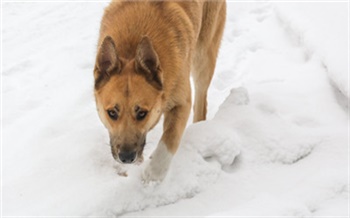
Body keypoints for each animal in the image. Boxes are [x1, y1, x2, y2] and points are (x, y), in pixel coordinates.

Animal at [93, 0, 227, 182]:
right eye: (112, 113)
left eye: (142, 113)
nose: (126, 158)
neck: (131, 49)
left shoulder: (181, 102)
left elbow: (170, 138)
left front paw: (154, 171)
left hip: (203, 57)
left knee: (200, 104)